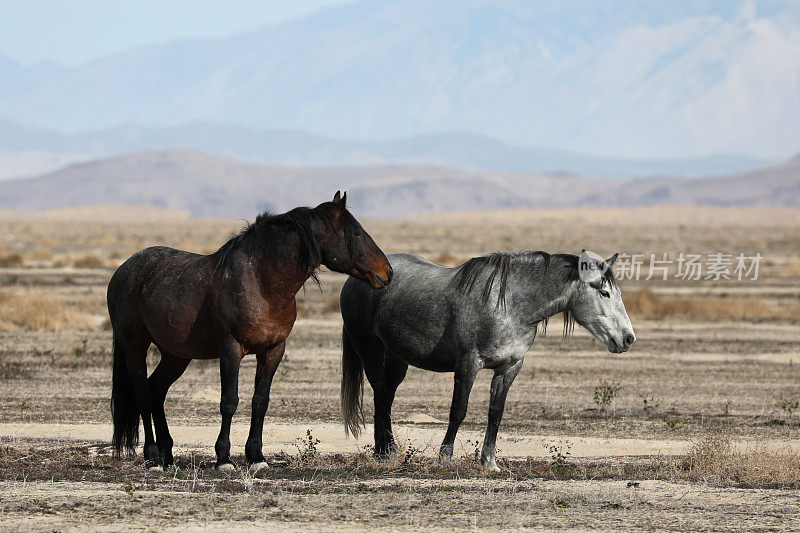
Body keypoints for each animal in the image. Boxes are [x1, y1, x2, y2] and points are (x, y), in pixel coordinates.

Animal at [108, 191, 392, 470]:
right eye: (357, 233)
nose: (387, 272)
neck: (261, 282)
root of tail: (124, 269)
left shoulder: (273, 350)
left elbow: (260, 401)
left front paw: (256, 456)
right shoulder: (231, 349)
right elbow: (229, 401)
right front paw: (223, 458)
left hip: (176, 355)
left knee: (156, 389)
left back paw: (167, 453)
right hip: (135, 346)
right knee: (143, 394)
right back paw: (152, 456)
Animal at [340, 249, 636, 470]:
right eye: (604, 293)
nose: (628, 338)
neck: (511, 306)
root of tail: (357, 278)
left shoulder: (509, 368)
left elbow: (496, 412)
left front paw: (489, 461)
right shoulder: (469, 364)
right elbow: (458, 411)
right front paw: (445, 458)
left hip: (397, 358)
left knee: (387, 396)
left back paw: (384, 451)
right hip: (370, 349)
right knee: (380, 393)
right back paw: (386, 452)